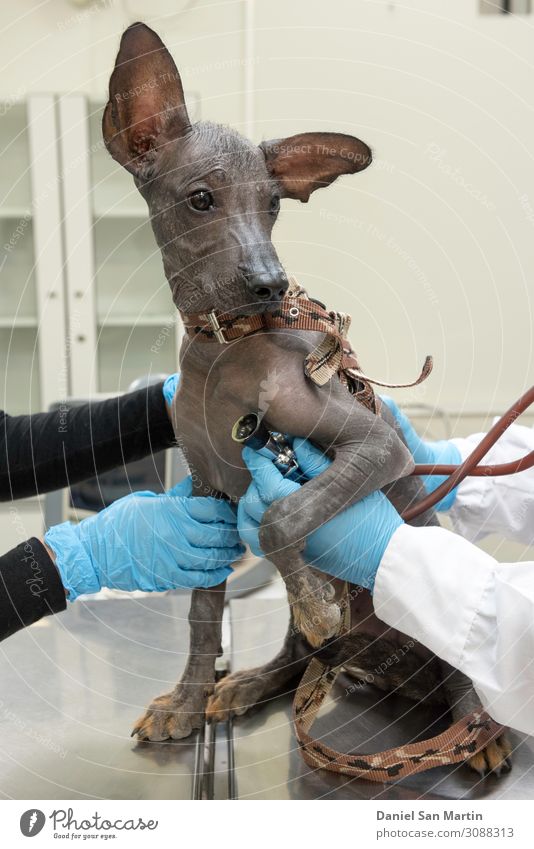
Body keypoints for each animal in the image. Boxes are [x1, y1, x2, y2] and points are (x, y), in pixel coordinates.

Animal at [102, 21, 512, 776]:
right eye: (200, 199)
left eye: (272, 205)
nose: (270, 281)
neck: (222, 346)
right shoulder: (207, 492)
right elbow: (202, 615)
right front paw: (186, 698)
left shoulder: (374, 446)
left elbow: (283, 516)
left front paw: (319, 599)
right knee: (300, 658)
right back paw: (252, 681)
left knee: (458, 666)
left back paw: (480, 725)